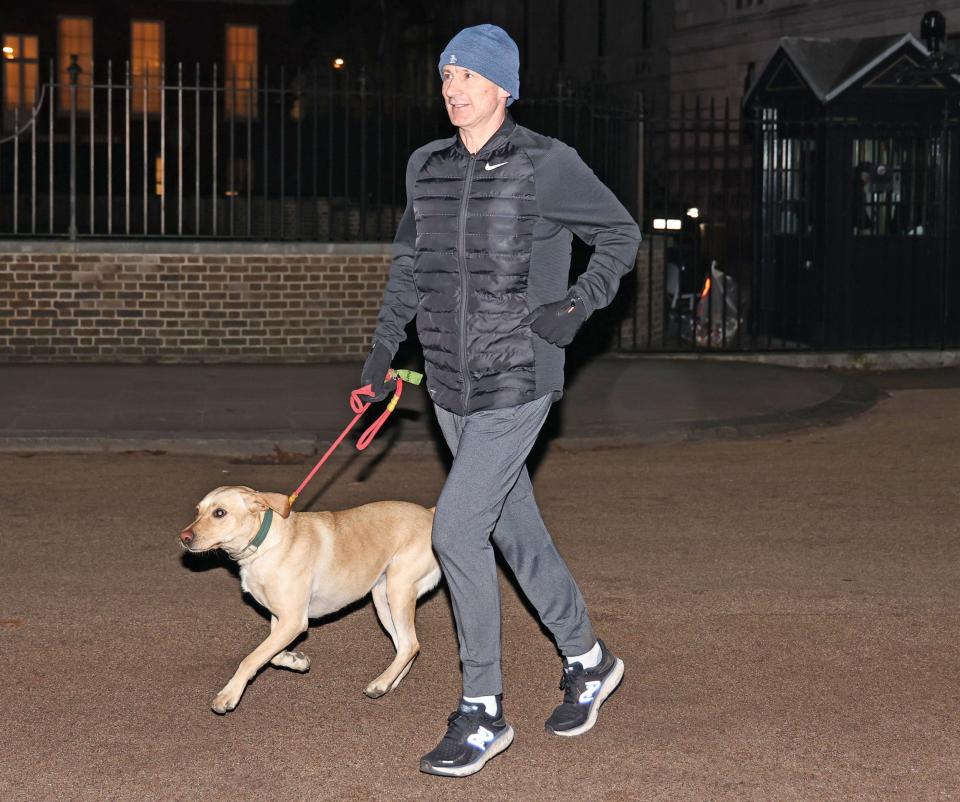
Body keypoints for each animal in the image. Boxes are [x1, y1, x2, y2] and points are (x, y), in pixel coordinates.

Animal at [178, 484, 440, 708]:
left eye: (220, 513)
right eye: (198, 510)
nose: (184, 537)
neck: (266, 545)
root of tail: (430, 514)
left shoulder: (294, 622)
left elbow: (251, 658)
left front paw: (229, 694)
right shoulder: (281, 619)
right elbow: (272, 657)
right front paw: (296, 661)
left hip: (398, 590)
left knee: (410, 644)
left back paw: (381, 683)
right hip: (382, 597)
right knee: (406, 645)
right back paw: (389, 683)